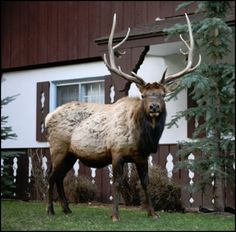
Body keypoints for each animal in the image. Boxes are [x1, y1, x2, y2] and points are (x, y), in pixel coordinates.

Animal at [45, 13, 201, 221]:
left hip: (71, 154)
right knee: (51, 176)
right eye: (143, 95)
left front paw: (153, 213)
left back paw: (66, 209)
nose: (153, 106)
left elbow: (145, 182)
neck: (143, 138)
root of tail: (48, 117)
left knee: (59, 177)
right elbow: (117, 183)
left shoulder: (142, 157)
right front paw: (115, 215)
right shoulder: (116, 152)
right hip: (58, 147)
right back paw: (50, 210)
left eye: (162, 94)